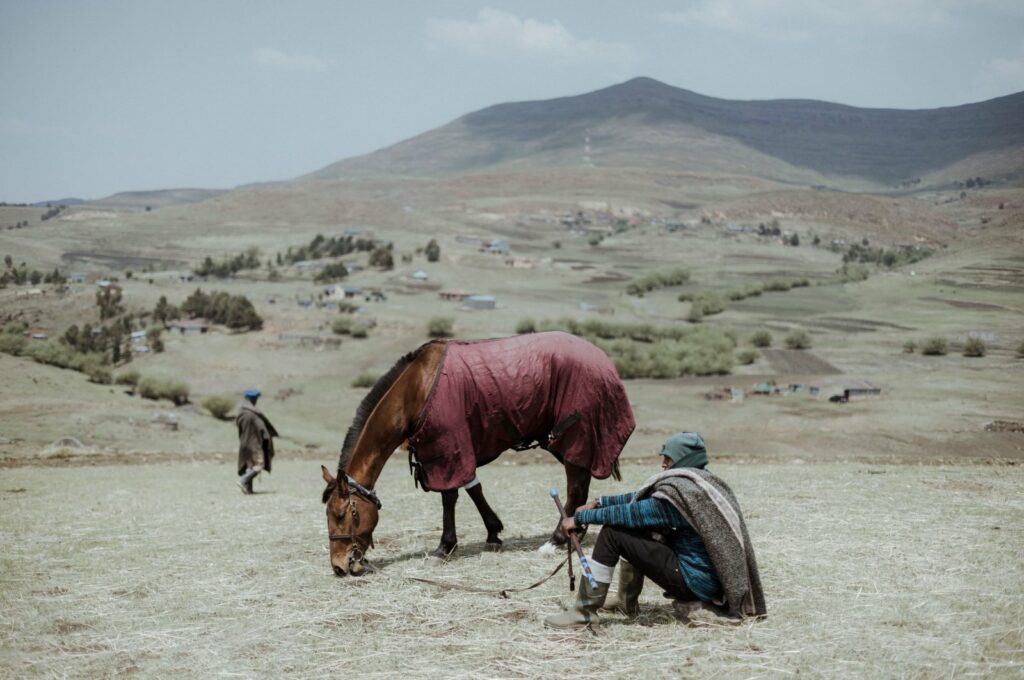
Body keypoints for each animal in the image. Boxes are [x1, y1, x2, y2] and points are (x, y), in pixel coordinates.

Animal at [323, 331, 634, 577]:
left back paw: (555, 540)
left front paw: (445, 547)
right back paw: (575, 529)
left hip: (575, 436)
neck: (416, 390)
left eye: (339, 515)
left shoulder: (447, 449)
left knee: (575, 488)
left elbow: (450, 496)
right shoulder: (453, 451)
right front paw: (493, 533)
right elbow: (474, 488)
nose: (339, 566)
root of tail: (602, 358)